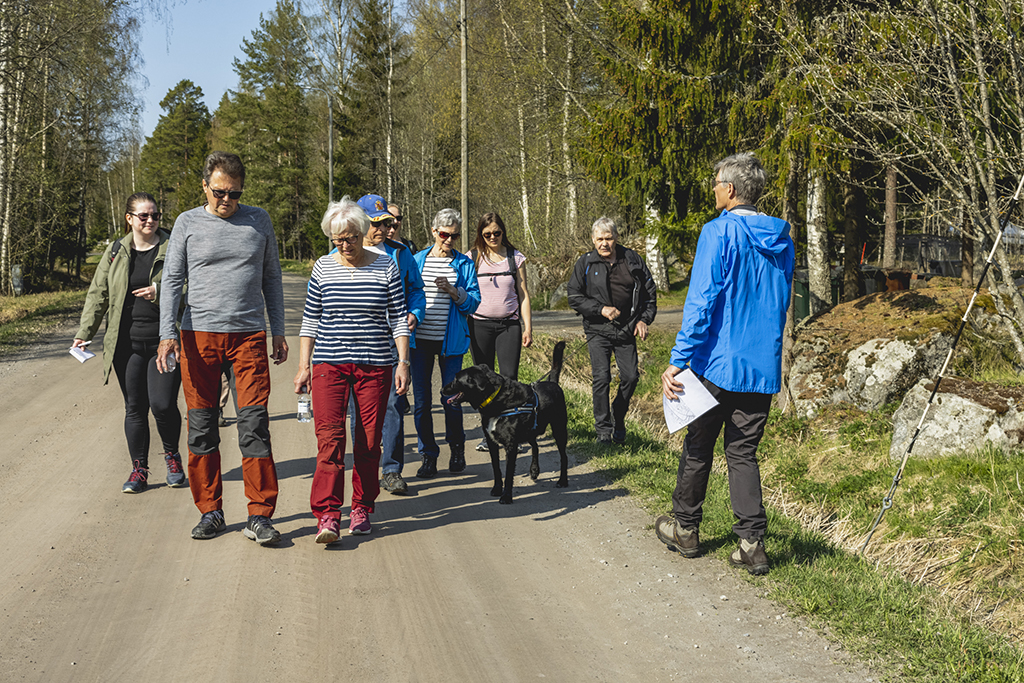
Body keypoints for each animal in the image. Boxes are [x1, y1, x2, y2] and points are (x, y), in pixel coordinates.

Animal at [440, 339, 569, 501]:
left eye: (457, 379)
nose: (442, 390)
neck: (495, 398)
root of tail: (553, 383)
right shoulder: (492, 443)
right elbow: (496, 469)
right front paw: (496, 489)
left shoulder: (511, 445)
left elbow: (508, 474)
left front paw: (506, 496)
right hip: (530, 430)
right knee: (535, 446)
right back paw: (534, 470)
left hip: (559, 429)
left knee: (563, 457)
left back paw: (563, 480)